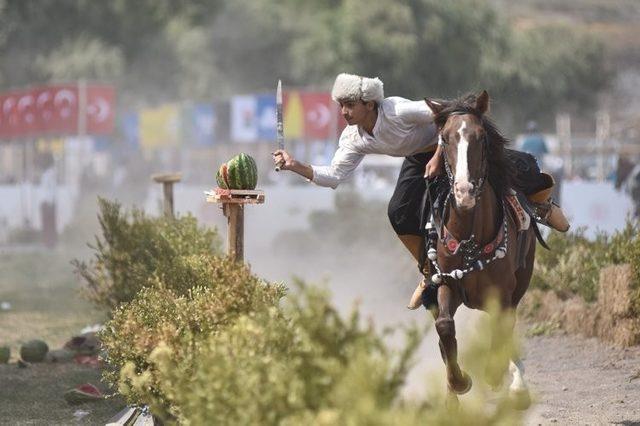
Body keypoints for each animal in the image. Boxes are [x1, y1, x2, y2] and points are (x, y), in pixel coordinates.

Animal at [424, 90, 536, 406]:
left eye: (481, 138)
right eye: (444, 138)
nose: (464, 192)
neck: (470, 241)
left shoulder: (501, 293)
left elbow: (501, 331)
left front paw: (495, 376)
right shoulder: (447, 283)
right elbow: (444, 326)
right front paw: (458, 383)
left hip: (520, 282)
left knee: (507, 325)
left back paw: (516, 383)